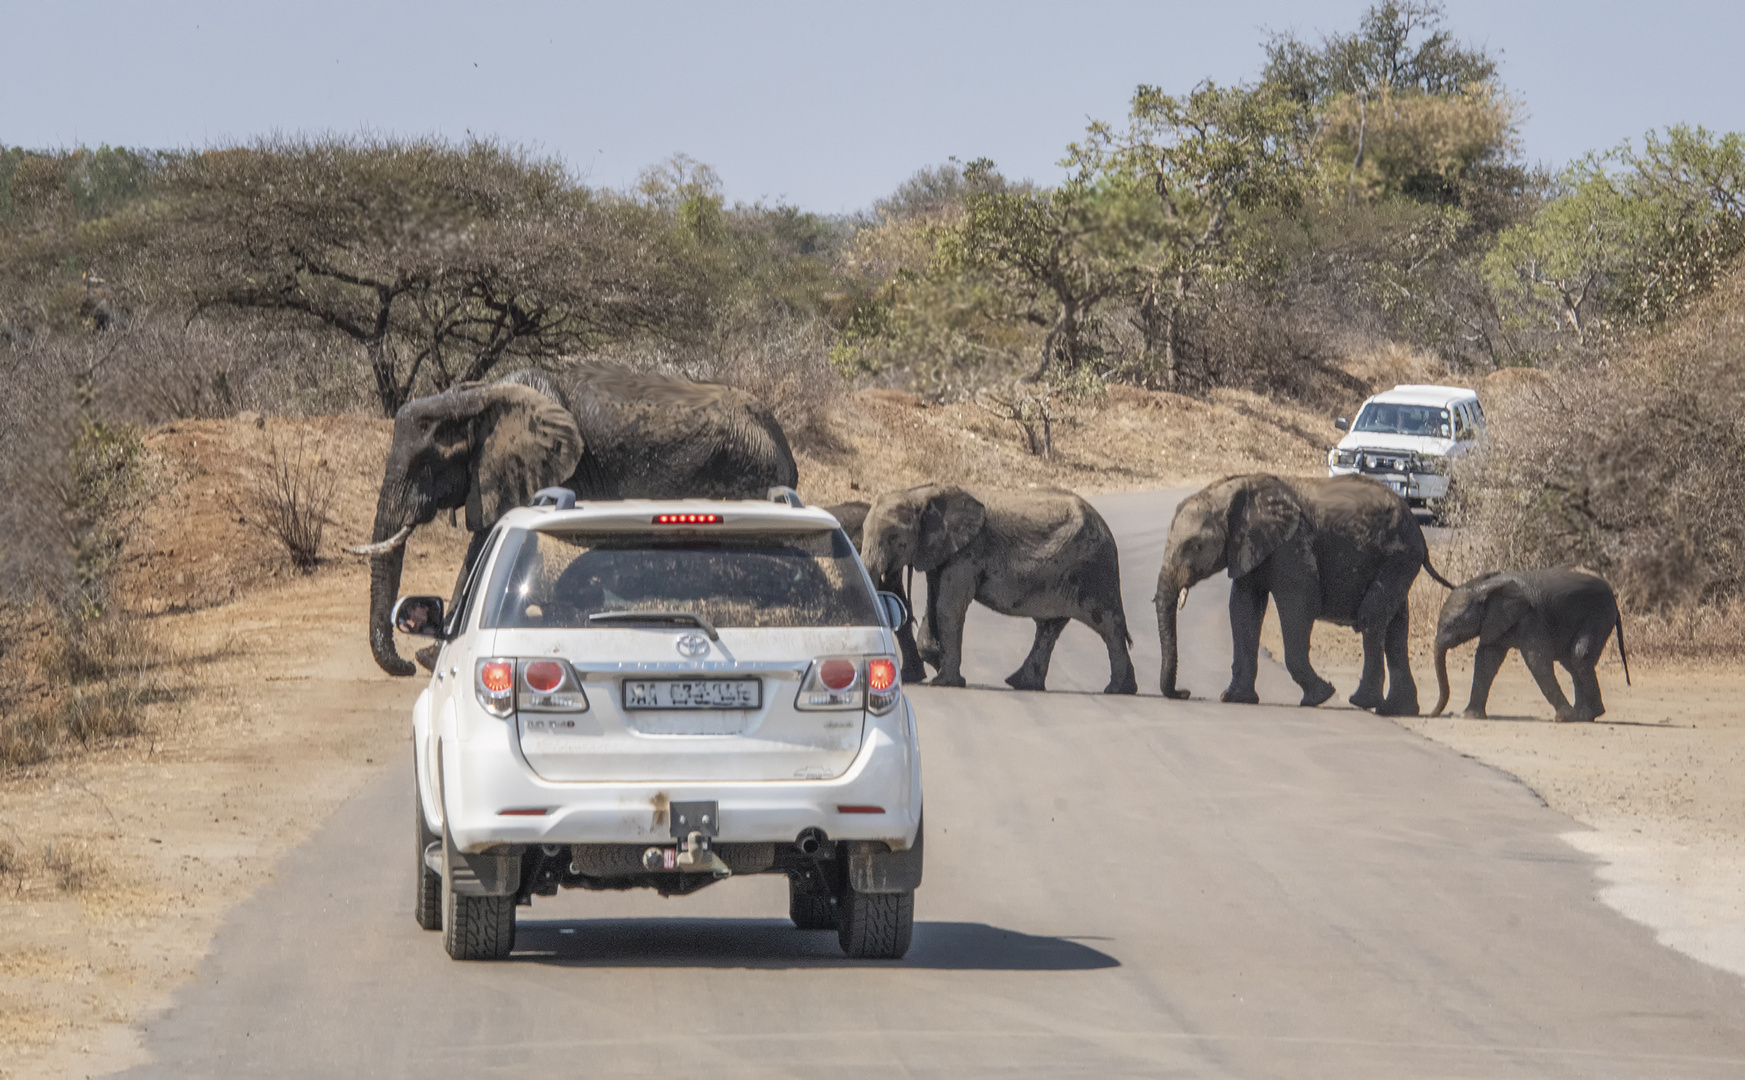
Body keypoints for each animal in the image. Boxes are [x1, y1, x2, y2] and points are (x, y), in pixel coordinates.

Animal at [865, 481, 1137, 694]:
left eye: (894, 539)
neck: (920, 494)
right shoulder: (941, 550)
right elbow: (934, 602)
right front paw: (935, 659)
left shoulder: (969, 551)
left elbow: (948, 606)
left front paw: (944, 682)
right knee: (1049, 628)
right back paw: (1023, 684)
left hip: (1093, 569)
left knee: (1108, 626)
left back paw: (1117, 690)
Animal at [1151, 474, 1451, 715]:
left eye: (1195, 546)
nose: (1185, 692)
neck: (1231, 491)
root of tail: (1418, 530)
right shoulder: (1249, 547)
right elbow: (1243, 608)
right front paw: (1235, 698)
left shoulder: (1291, 542)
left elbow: (1299, 603)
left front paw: (1320, 696)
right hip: (1399, 559)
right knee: (1396, 629)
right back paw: (1398, 709)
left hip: (1398, 556)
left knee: (1372, 617)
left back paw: (1363, 702)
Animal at [1437, 568, 1626, 722]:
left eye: (1454, 624)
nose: (1435, 714)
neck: (1486, 587)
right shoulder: (1495, 622)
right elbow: (1486, 659)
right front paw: (1469, 716)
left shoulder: (1532, 619)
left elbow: (1536, 661)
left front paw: (1564, 718)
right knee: (1571, 662)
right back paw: (1583, 716)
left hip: (1599, 615)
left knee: (1579, 657)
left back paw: (1585, 715)